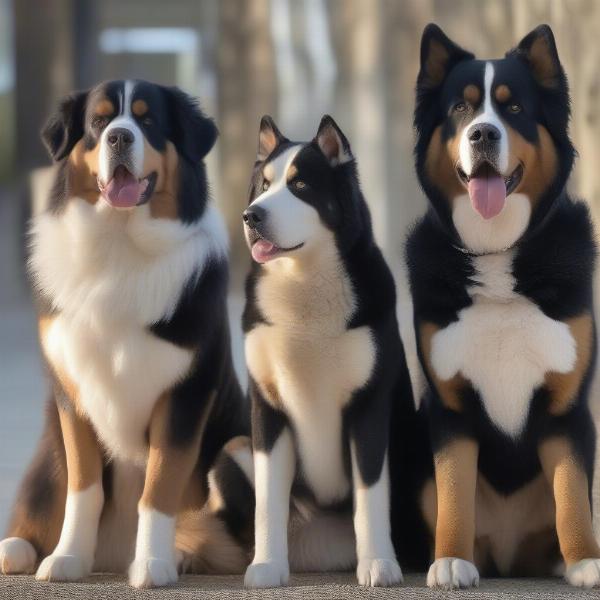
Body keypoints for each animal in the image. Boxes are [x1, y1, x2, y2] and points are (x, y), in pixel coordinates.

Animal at [240, 115, 412, 588]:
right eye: (263, 185)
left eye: (300, 185)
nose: (251, 214)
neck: (303, 283)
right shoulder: (266, 409)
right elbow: (267, 500)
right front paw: (267, 566)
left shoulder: (368, 406)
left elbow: (371, 494)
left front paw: (378, 564)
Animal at [408, 24, 600, 592]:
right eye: (461, 108)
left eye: (513, 108)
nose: (483, 136)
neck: (497, 254)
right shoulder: (450, 407)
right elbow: (454, 491)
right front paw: (451, 559)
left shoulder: (566, 409)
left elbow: (571, 493)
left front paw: (585, 560)